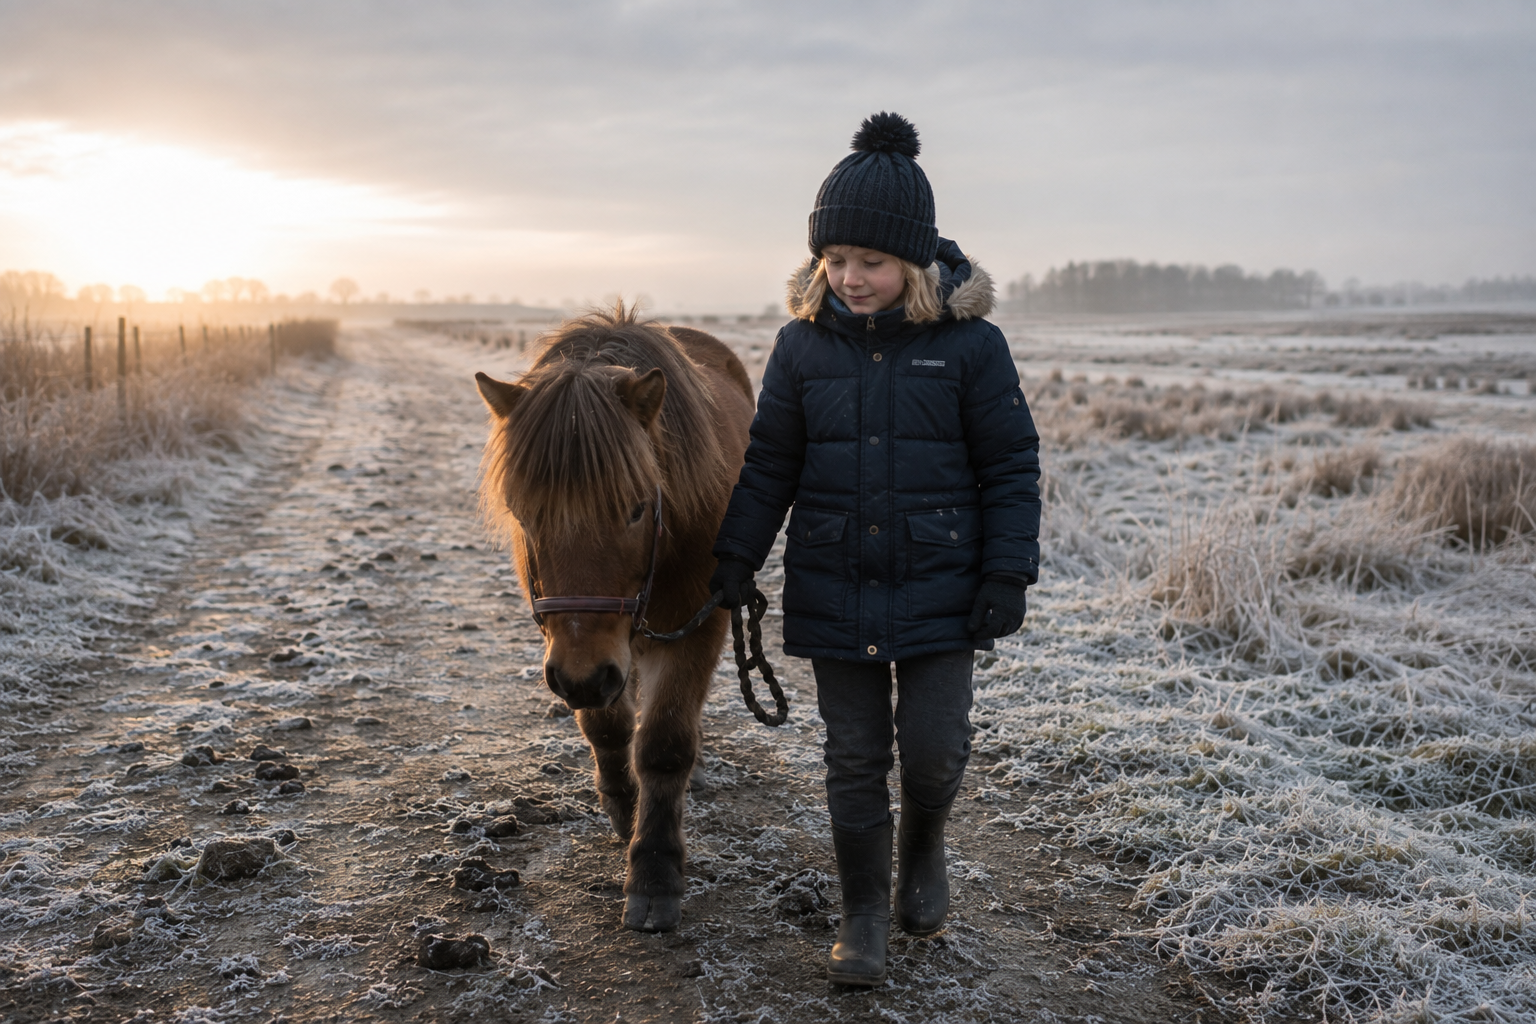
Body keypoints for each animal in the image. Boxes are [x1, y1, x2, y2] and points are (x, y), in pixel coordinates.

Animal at [475, 305, 754, 932]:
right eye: (525, 514)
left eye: (636, 507)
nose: (582, 675)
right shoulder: (580, 652)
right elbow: (607, 729)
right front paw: (626, 817)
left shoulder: (696, 626)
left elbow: (665, 742)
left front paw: (654, 869)